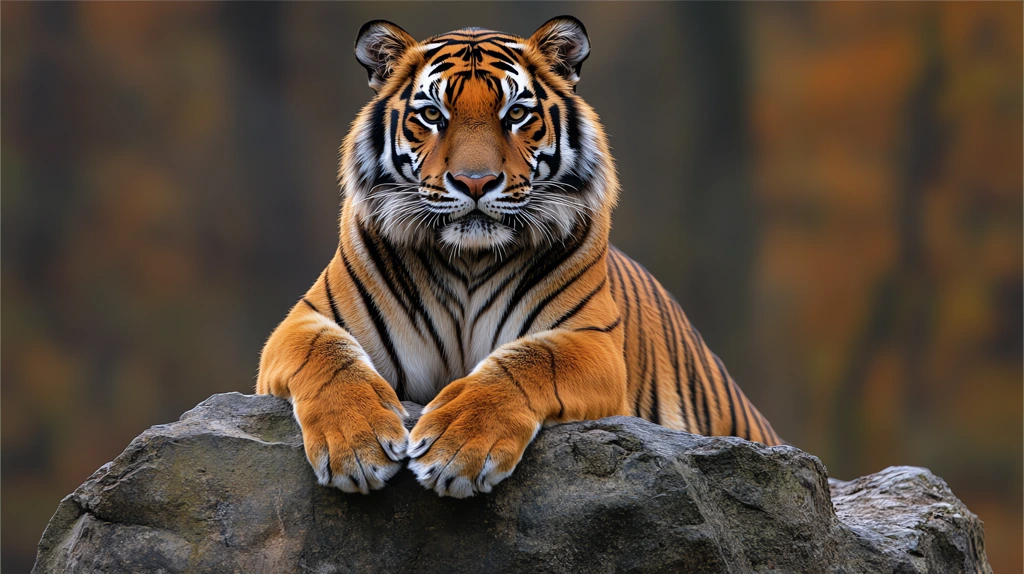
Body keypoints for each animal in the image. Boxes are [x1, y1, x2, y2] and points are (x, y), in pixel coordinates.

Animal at [253, 14, 774, 497]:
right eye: (433, 115)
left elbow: (528, 360)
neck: (468, 259)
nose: (475, 182)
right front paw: (356, 446)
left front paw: (455, 448)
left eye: (517, 113)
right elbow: (328, 354)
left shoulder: (592, 342)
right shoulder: (303, 320)